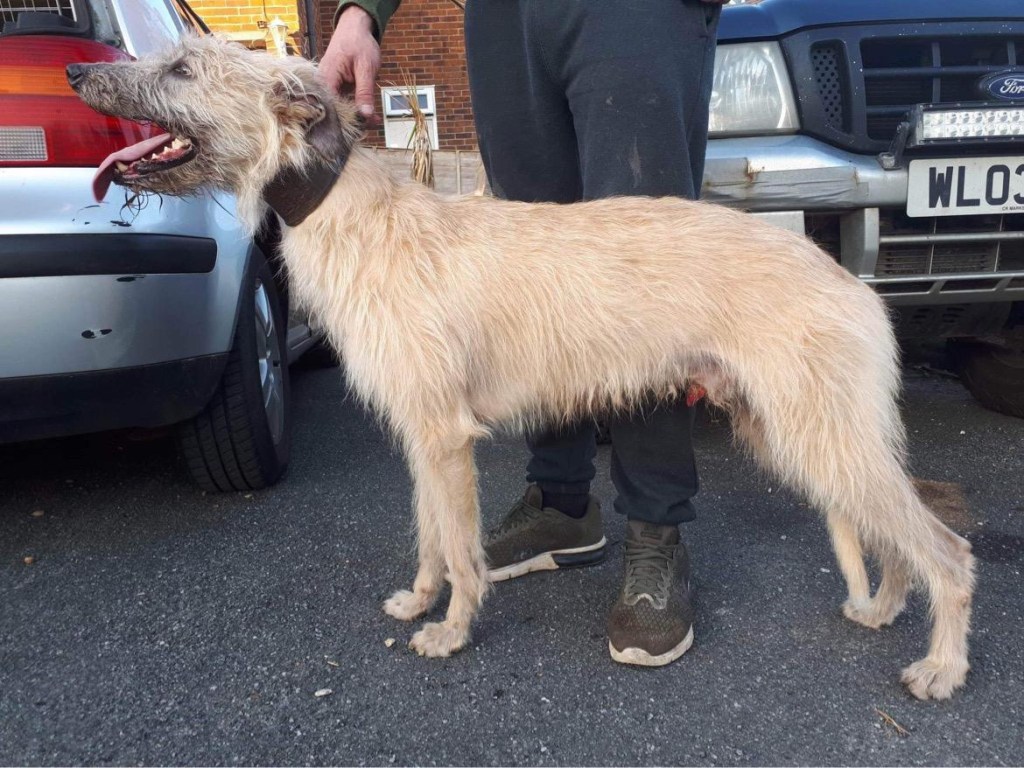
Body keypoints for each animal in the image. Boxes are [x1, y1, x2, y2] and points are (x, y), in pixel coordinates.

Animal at [68, 35, 976, 700]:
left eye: (183, 67)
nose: (79, 70)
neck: (353, 215)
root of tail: (855, 288)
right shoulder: (421, 435)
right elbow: (432, 534)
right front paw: (420, 597)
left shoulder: (444, 435)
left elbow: (463, 549)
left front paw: (452, 629)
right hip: (805, 434)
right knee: (899, 540)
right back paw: (887, 609)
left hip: (819, 433)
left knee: (946, 548)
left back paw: (942, 666)